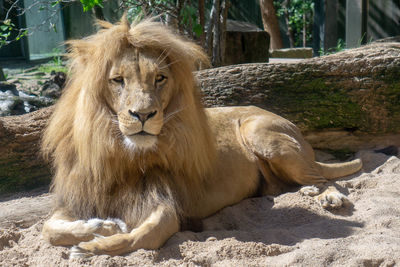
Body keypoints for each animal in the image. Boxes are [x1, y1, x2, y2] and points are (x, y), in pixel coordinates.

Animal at [40, 17, 362, 260]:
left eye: (160, 78)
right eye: (118, 80)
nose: (143, 114)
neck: (120, 153)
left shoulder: (166, 201)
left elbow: (144, 236)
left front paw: (91, 248)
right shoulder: (78, 197)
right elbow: (49, 229)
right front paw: (103, 226)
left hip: (258, 131)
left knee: (324, 177)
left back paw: (329, 197)